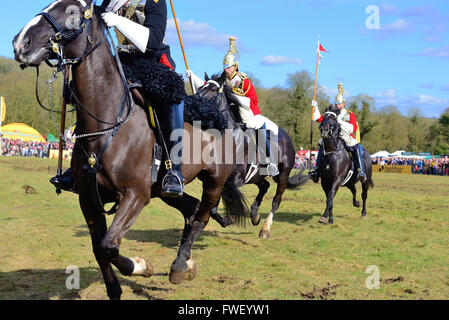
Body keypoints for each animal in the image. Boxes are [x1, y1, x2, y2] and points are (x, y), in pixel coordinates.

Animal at [12, 0, 247, 300]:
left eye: (73, 12)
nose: (21, 42)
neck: (107, 122)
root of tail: (221, 117)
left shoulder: (135, 195)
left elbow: (108, 245)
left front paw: (141, 265)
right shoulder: (89, 200)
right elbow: (99, 249)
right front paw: (116, 287)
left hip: (214, 181)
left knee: (201, 217)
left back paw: (179, 267)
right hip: (165, 192)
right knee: (192, 210)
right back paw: (185, 263)